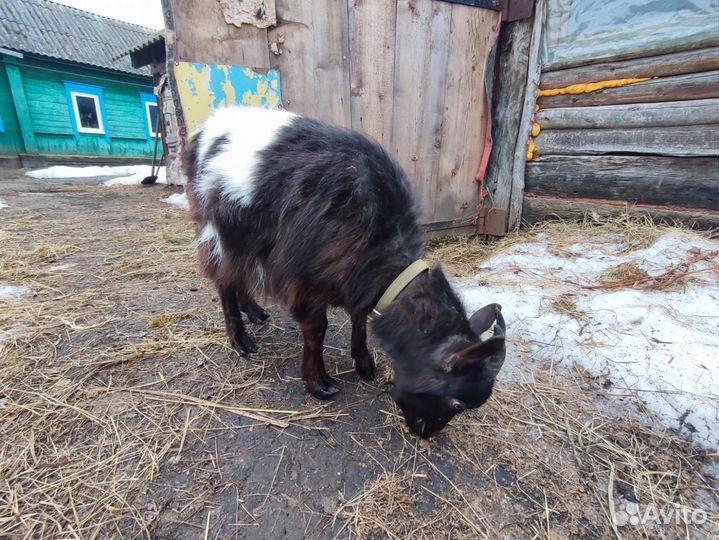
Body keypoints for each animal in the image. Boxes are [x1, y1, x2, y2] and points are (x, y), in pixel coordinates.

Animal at [184, 106, 507, 438]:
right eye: (457, 403)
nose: (425, 432)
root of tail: (207, 127)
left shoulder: (353, 273)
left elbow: (360, 316)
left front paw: (363, 363)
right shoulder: (305, 275)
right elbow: (317, 328)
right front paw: (319, 383)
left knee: (239, 275)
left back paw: (255, 312)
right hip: (219, 229)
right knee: (224, 279)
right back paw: (240, 339)